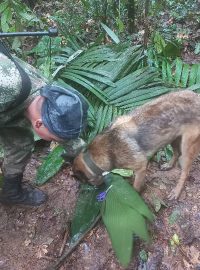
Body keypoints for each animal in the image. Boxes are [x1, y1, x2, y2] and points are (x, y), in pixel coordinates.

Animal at [72, 89, 200, 199]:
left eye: (85, 181)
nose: (97, 188)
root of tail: (197, 96)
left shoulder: (141, 167)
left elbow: (135, 188)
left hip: (187, 147)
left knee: (185, 171)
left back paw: (176, 191)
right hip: (173, 137)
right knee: (177, 152)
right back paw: (168, 165)